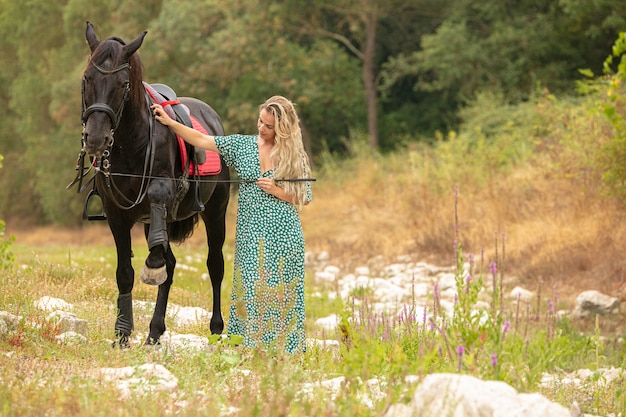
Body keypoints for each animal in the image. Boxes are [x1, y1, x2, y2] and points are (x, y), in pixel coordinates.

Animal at [74, 22, 228, 348]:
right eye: (86, 78)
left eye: (123, 84)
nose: (95, 138)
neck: (131, 143)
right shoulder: (117, 215)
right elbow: (125, 272)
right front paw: (122, 333)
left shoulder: (161, 191)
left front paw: (152, 268)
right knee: (170, 264)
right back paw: (155, 331)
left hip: (216, 211)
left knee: (215, 265)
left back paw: (216, 328)